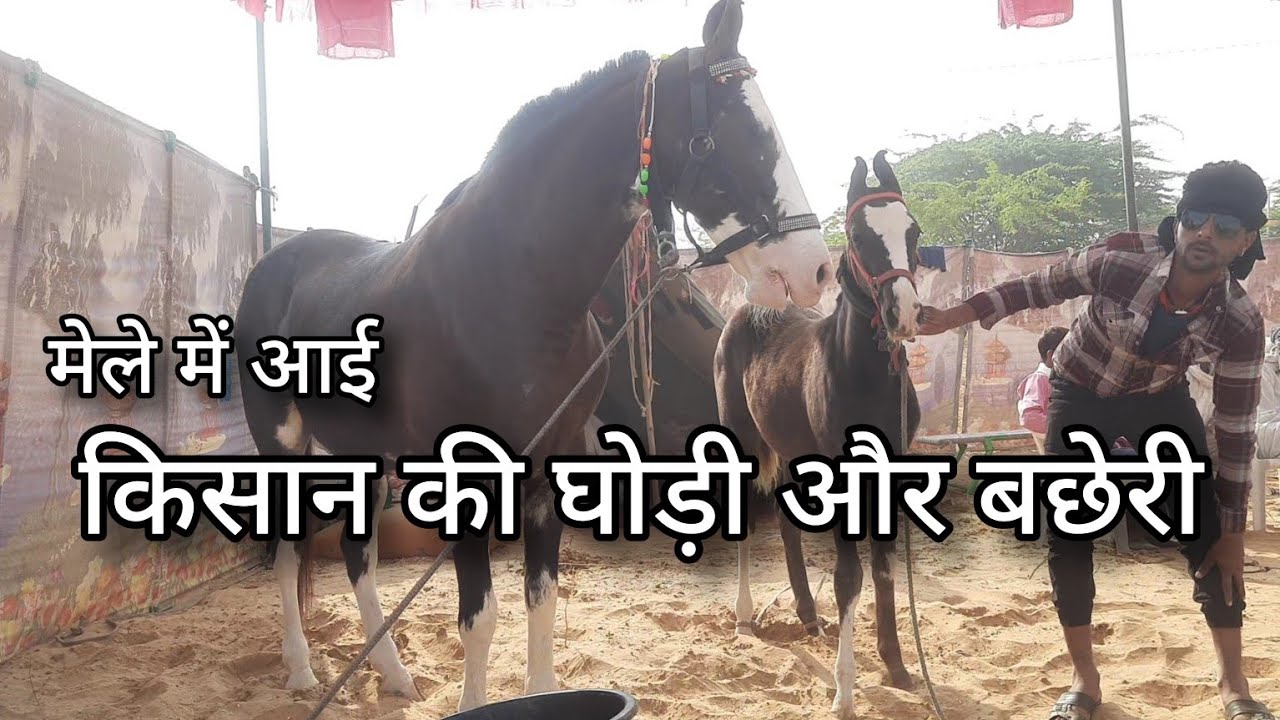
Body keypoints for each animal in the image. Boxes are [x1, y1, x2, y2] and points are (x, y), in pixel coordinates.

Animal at [233, 0, 835, 711]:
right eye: (737, 132)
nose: (815, 270)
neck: (513, 293)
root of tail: (274, 263)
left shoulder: (549, 464)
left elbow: (540, 602)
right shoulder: (461, 474)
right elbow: (479, 616)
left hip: (364, 452)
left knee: (357, 560)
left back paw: (394, 674)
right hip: (281, 443)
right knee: (288, 554)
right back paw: (300, 670)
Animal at [713, 151, 923, 720]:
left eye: (913, 231)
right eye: (857, 235)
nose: (903, 315)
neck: (864, 372)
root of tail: (748, 307)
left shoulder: (888, 473)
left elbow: (884, 568)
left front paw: (896, 665)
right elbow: (850, 575)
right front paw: (845, 690)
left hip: (790, 450)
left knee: (787, 525)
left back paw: (808, 614)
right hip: (742, 437)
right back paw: (744, 616)